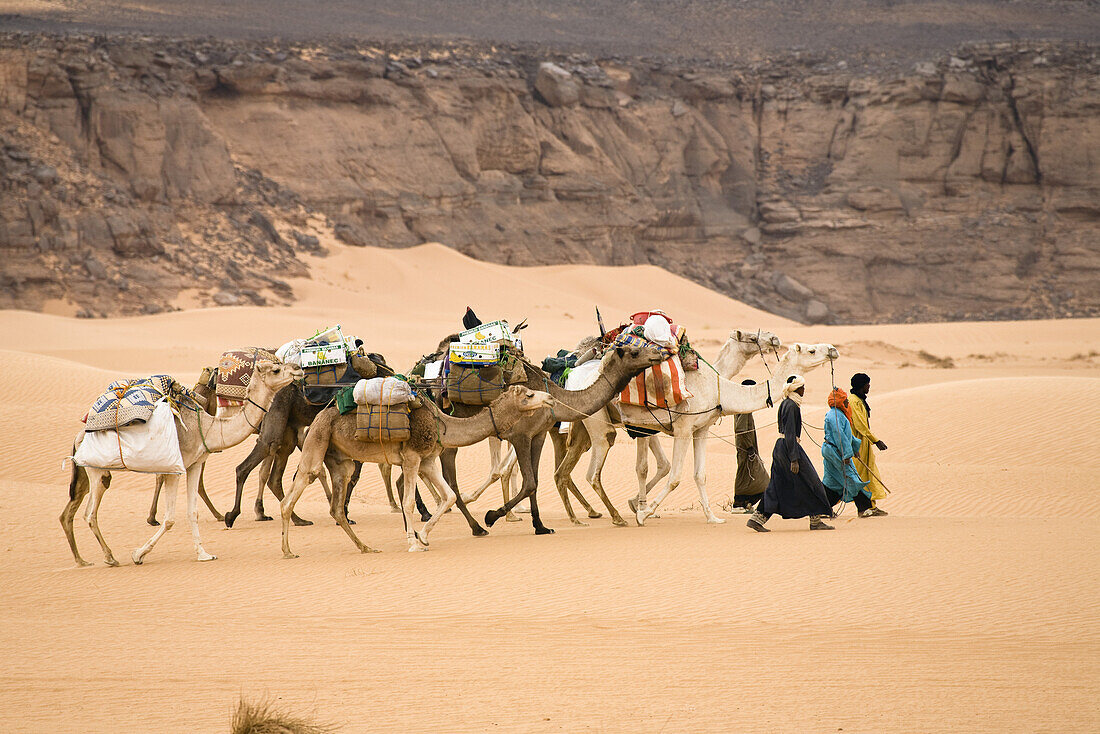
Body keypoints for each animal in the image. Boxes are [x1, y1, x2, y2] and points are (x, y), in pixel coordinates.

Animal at [60, 360, 301, 567]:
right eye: (276, 370)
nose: (298, 369)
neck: (208, 428)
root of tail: (79, 435)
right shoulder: (174, 469)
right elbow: (169, 519)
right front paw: (138, 554)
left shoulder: (194, 464)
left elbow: (192, 513)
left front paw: (204, 554)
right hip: (96, 470)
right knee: (90, 513)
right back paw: (110, 558)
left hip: (87, 473)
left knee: (71, 511)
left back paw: (82, 560)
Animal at [279, 385, 554, 556]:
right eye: (529, 395)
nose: (550, 398)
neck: (442, 425)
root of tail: (319, 417)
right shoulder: (412, 458)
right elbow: (409, 501)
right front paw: (413, 543)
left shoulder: (428, 461)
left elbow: (448, 496)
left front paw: (423, 537)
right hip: (317, 441)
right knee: (294, 493)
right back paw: (288, 551)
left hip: (340, 460)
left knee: (336, 507)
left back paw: (366, 548)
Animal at [629, 341, 840, 526]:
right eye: (811, 350)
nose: (833, 350)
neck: (718, 390)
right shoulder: (683, 427)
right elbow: (675, 477)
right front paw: (643, 514)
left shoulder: (701, 429)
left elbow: (700, 475)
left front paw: (712, 518)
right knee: (646, 466)